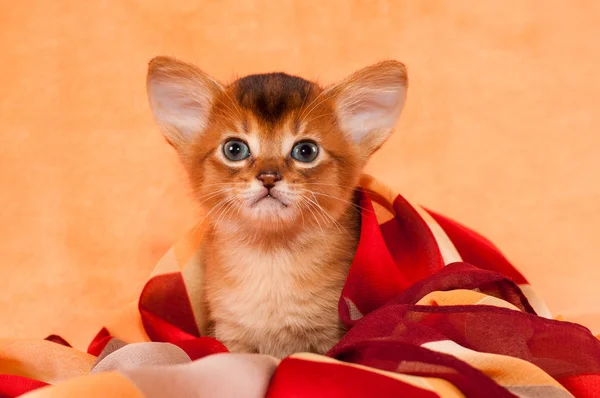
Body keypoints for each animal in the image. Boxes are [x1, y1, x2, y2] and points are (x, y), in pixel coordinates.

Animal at [146, 57, 408, 360]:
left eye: (306, 151)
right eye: (234, 149)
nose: (269, 177)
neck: (271, 259)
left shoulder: (332, 337)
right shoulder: (232, 335)